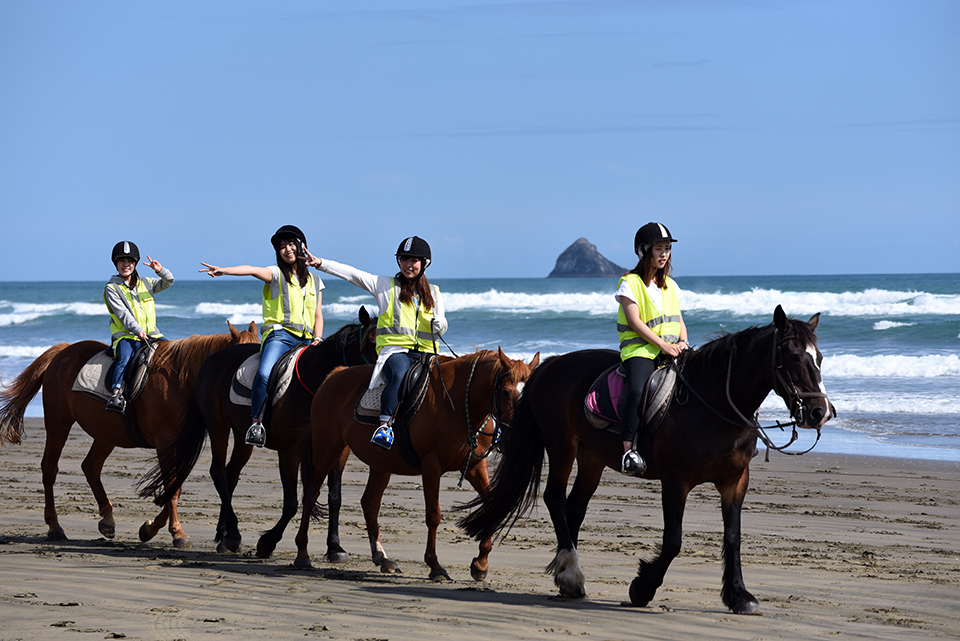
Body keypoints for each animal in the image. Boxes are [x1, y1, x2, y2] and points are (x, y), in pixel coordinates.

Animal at [0, 321, 259, 546]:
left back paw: (107, 520)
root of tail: (62, 351)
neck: (180, 377)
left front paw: (150, 529)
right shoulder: (165, 443)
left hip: (106, 433)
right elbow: (171, 487)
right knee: (50, 469)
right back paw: (55, 527)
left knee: (90, 466)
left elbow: (174, 488)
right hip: (58, 423)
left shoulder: (176, 444)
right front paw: (176, 532)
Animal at [139, 308, 378, 557]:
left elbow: (334, 497)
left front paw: (334, 546)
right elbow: (291, 503)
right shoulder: (290, 449)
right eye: (372, 342)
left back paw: (224, 534)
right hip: (218, 426)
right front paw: (267, 542)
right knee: (219, 473)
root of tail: (211, 360)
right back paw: (233, 535)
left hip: (241, 436)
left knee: (230, 474)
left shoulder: (337, 450)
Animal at [293, 347, 540, 582]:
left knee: (370, 503)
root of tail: (335, 375)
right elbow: (433, 515)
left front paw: (480, 564)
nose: (517, 438)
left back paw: (382, 558)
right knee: (311, 495)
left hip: (378, 463)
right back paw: (302, 554)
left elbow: (491, 508)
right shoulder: (432, 466)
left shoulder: (474, 466)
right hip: (328, 450)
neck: (458, 402)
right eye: (505, 392)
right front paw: (435, 566)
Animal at [458, 306, 834, 614]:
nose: (820, 412)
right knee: (555, 499)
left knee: (573, 507)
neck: (714, 404)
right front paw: (642, 588)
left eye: (819, 358)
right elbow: (673, 541)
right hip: (562, 446)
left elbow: (733, 537)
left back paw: (567, 576)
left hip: (591, 457)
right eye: (792, 356)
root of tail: (552, 364)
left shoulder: (735, 481)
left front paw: (739, 596)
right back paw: (573, 574)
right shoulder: (676, 480)